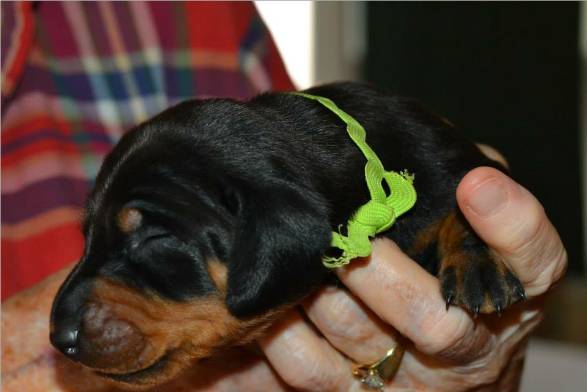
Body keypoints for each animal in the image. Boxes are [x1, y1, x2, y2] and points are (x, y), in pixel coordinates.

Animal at [51, 81, 524, 388]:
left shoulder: (456, 162)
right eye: (87, 237)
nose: (60, 341)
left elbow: (463, 199)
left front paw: (480, 264)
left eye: (153, 239)